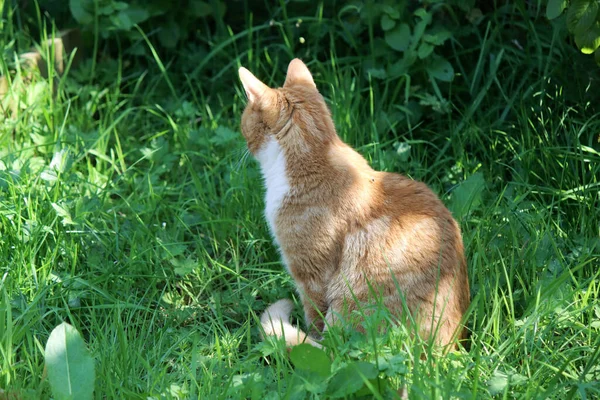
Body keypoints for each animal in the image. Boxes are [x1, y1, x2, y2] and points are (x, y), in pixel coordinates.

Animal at [238, 57, 468, 348]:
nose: (243, 141)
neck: (313, 157)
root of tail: (445, 350)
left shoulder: (311, 274)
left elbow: (313, 317)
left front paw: (310, 335)